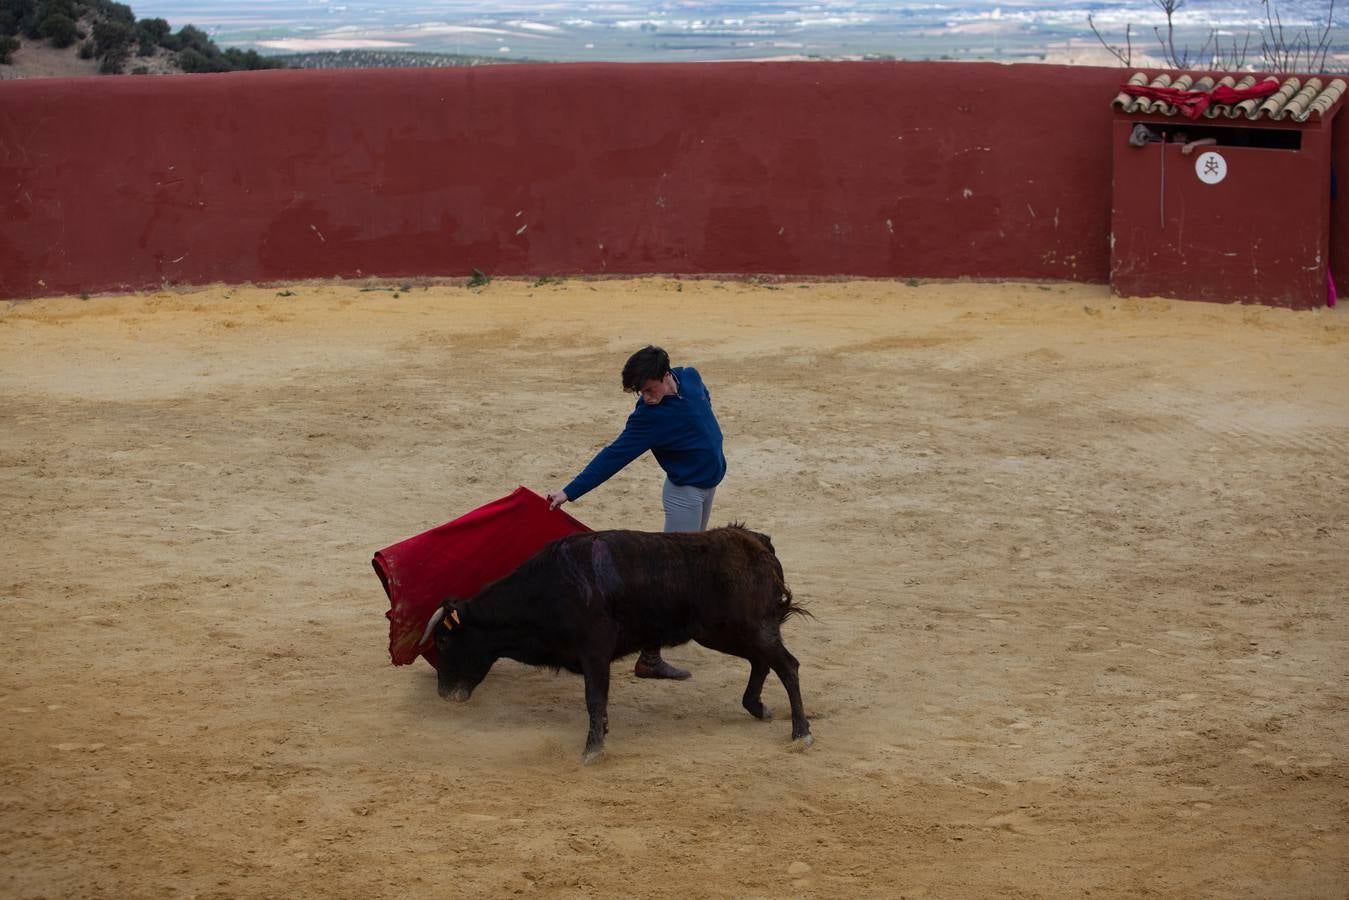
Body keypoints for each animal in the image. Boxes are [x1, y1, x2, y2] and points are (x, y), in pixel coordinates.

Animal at [415, 523, 809, 766]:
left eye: (444, 640)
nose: (444, 694)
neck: (547, 590)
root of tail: (756, 541)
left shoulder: (595, 653)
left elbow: (594, 699)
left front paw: (592, 750)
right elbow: (598, 702)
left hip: (746, 628)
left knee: (787, 665)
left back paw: (801, 733)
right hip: (722, 632)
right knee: (762, 661)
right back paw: (758, 708)